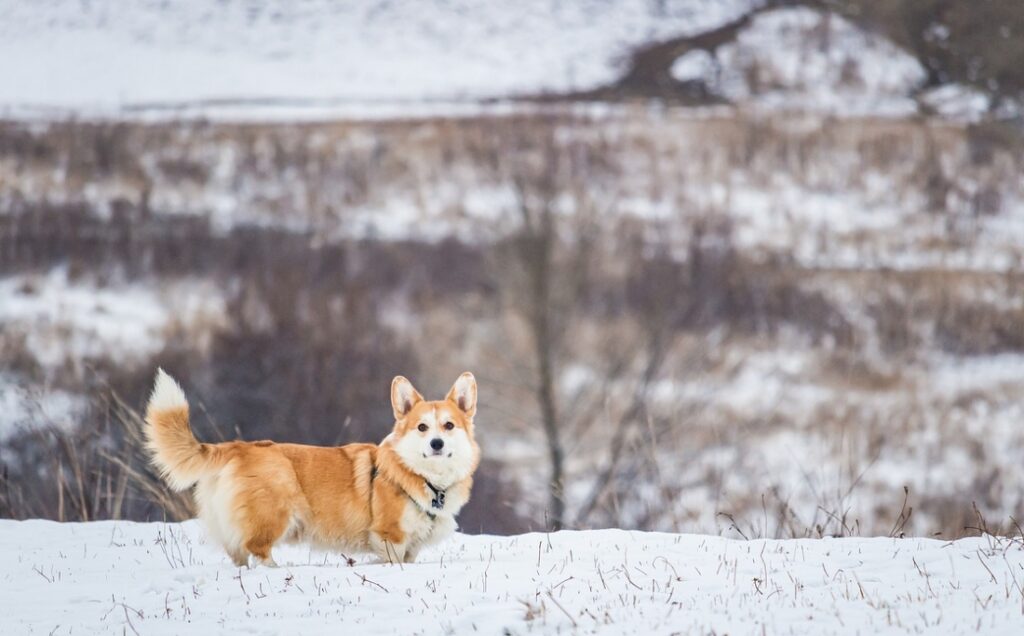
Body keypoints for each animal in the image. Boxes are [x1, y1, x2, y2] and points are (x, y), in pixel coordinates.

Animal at [143, 366, 479, 565]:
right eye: (422, 428)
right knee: (258, 550)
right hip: (273, 514)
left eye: (449, 426)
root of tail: (239, 447)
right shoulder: (390, 537)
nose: (437, 444)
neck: (427, 479)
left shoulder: (411, 547)